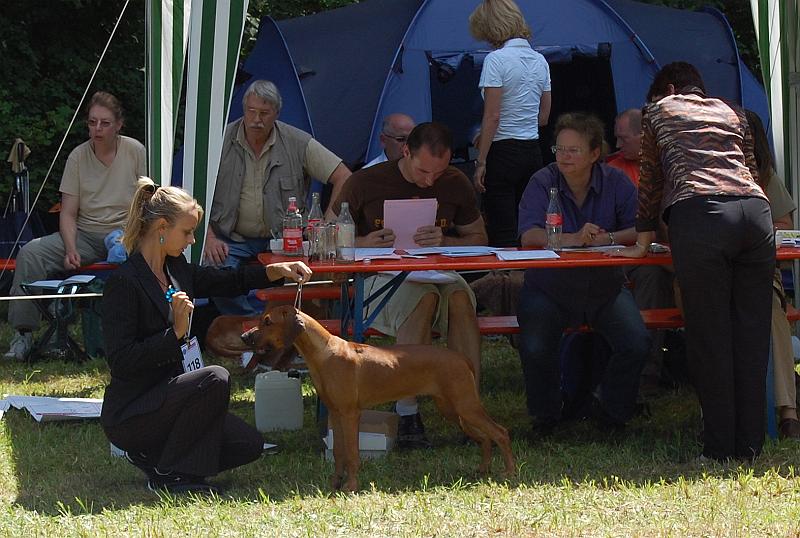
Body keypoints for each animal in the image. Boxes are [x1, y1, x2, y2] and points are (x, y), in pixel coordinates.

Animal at [234, 302, 516, 490]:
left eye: (267, 322)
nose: (244, 336)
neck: (324, 352)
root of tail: (461, 357)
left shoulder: (350, 414)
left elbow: (352, 454)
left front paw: (351, 486)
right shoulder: (335, 413)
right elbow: (338, 453)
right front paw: (335, 482)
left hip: (464, 405)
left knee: (500, 432)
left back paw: (509, 472)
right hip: (453, 409)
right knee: (485, 437)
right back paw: (483, 468)